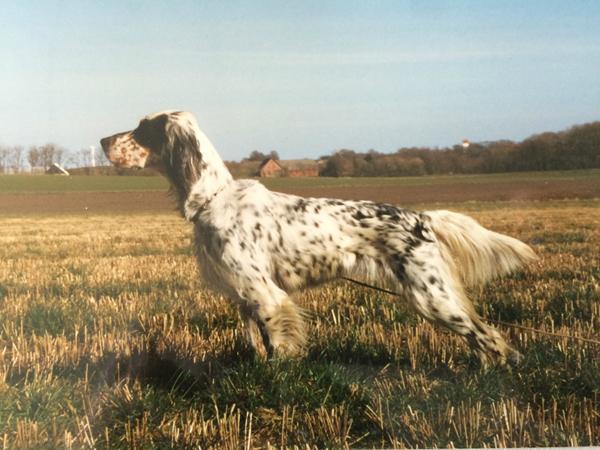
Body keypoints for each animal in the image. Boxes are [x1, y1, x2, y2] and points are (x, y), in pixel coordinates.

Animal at [101, 111, 536, 366]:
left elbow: (278, 345)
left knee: (489, 337)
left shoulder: (265, 294)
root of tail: (422, 218)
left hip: (431, 295)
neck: (213, 196)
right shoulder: (245, 295)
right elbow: (257, 344)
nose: (103, 141)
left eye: (141, 129)